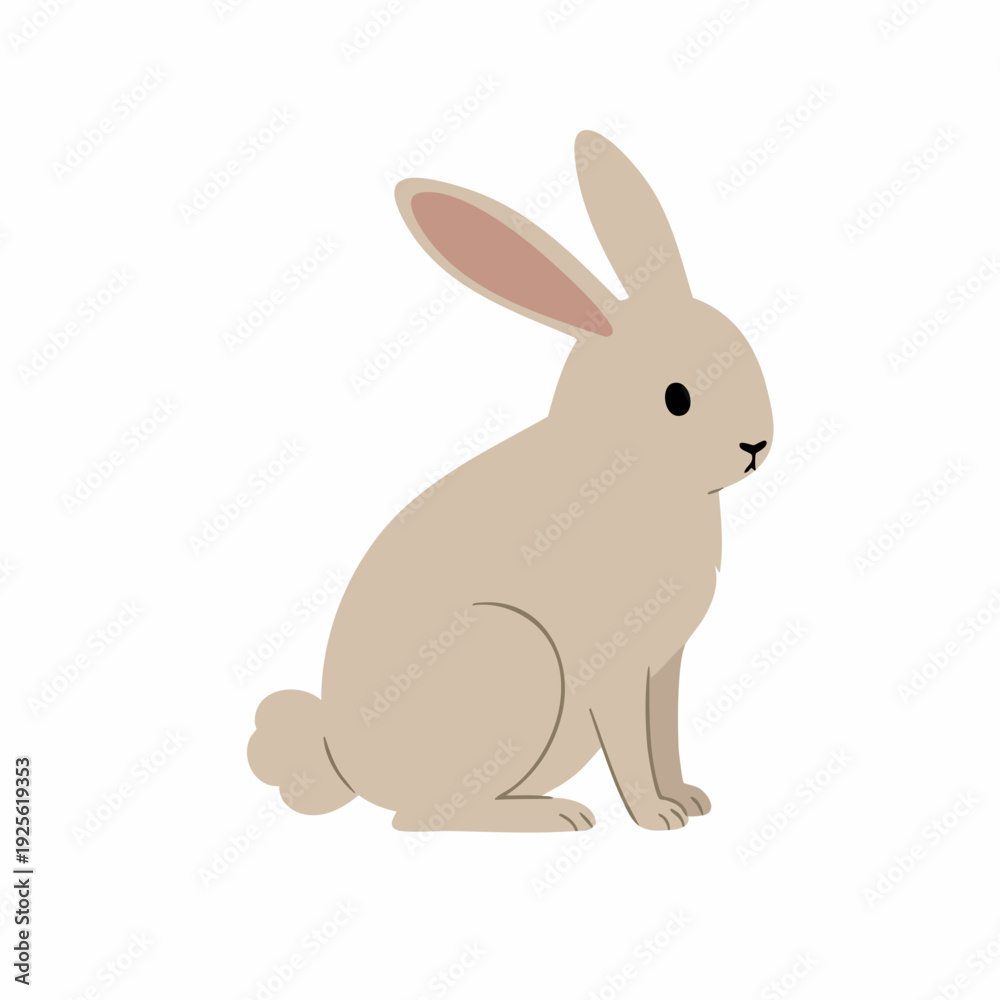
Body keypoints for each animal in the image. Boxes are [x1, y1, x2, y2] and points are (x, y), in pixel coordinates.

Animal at [248, 131, 773, 832]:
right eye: (677, 398)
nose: (755, 447)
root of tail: (342, 763)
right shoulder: (615, 668)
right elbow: (632, 749)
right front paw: (655, 818)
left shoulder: (664, 670)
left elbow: (664, 738)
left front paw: (688, 800)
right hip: (517, 660)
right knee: (425, 817)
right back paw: (556, 816)